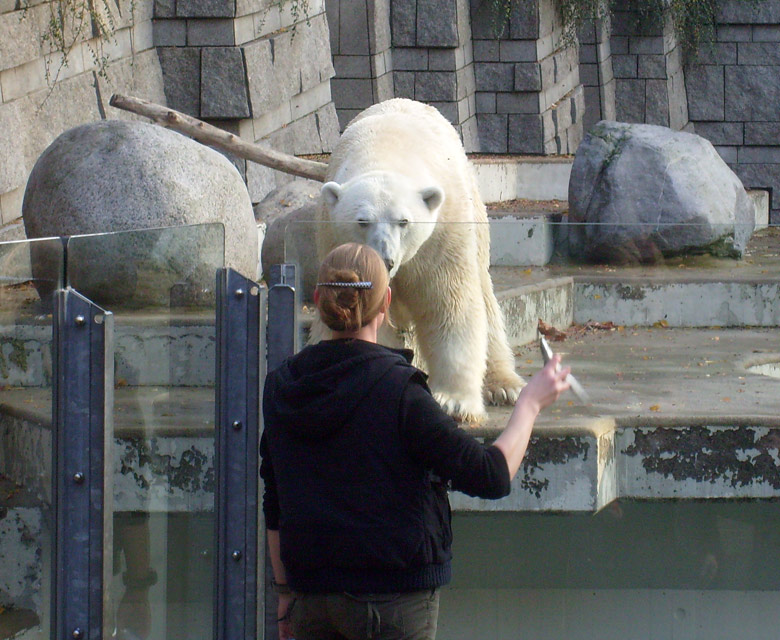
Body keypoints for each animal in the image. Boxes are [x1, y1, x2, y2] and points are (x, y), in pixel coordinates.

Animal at [312, 97, 524, 422]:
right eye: (362, 221)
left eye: (404, 221)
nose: (385, 260)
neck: (386, 150)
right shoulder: (334, 241)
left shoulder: (442, 235)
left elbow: (448, 304)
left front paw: (454, 402)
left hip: (475, 214)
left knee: (486, 301)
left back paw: (504, 386)